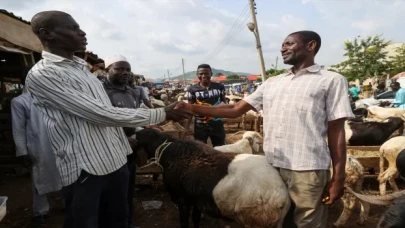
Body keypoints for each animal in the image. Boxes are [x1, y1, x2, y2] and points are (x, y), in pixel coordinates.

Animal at [133, 128, 290, 228]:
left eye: (143, 136)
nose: (134, 134)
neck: (167, 151)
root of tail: (281, 192)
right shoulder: (196, 200)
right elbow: (195, 220)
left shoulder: (182, 200)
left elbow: (184, 223)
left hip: (256, 220)